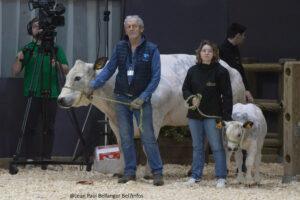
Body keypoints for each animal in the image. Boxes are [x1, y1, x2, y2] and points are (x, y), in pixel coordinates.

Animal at [58, 54, 246, 175]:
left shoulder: (154, 117)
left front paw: (150, 172)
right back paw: (193, 170)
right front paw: (121, 171)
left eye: (77, 77)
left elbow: (149, 146)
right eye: (66, 76)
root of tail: (232, 69)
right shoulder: (115, 122)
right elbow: (123, 146)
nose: (60, 99)